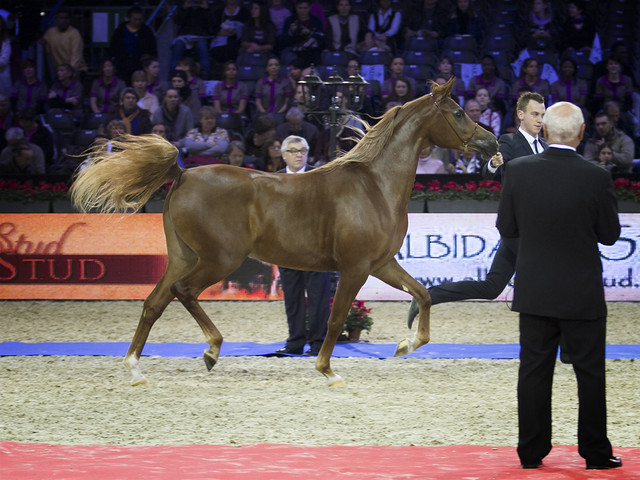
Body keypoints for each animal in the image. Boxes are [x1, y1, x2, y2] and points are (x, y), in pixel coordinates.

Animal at [71, 77, 498, 387]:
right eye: (458, 112)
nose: (491, 141)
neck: (375, 185)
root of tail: (183, 173)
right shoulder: (356, 268)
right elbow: (335, 318)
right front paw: (328, 371)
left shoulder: (381, 264)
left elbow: (423, 294)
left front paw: (406, 345)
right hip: (219, 259)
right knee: (183, 292)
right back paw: (211, 350)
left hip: (183, 256)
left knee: (154, 303)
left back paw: (135, 369)